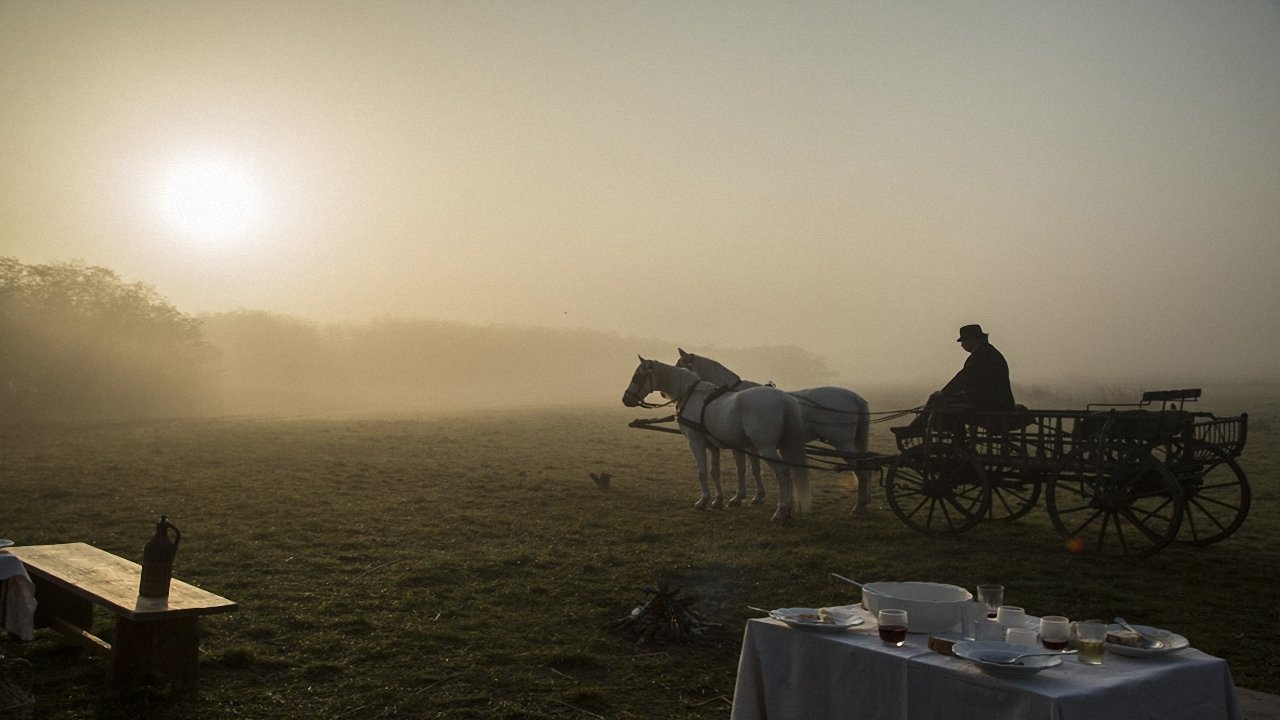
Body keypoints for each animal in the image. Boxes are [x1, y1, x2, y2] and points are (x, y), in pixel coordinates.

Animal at [619, 356, 808, 517]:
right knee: (789, 471)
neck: (692, 395)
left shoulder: (695, 442)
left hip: (765, 447)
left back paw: (780, 511)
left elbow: (702, 472)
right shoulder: (712, 445)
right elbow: (714, 471)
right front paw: (718, 500)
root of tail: (784, 398)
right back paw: (787, 508)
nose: (625, 399)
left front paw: (703, 501)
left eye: (637, 376)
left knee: (782, 472)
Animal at [675, 345, 875, 509]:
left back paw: (859, 505)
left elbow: (745, 468)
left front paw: (740, 497)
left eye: (680, 365)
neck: (731, 397)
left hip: (842, 443)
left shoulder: (743, 444)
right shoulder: (750, 445)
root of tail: (854, 396)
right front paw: (756, 496)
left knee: (861, 469)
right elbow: (754, 469)